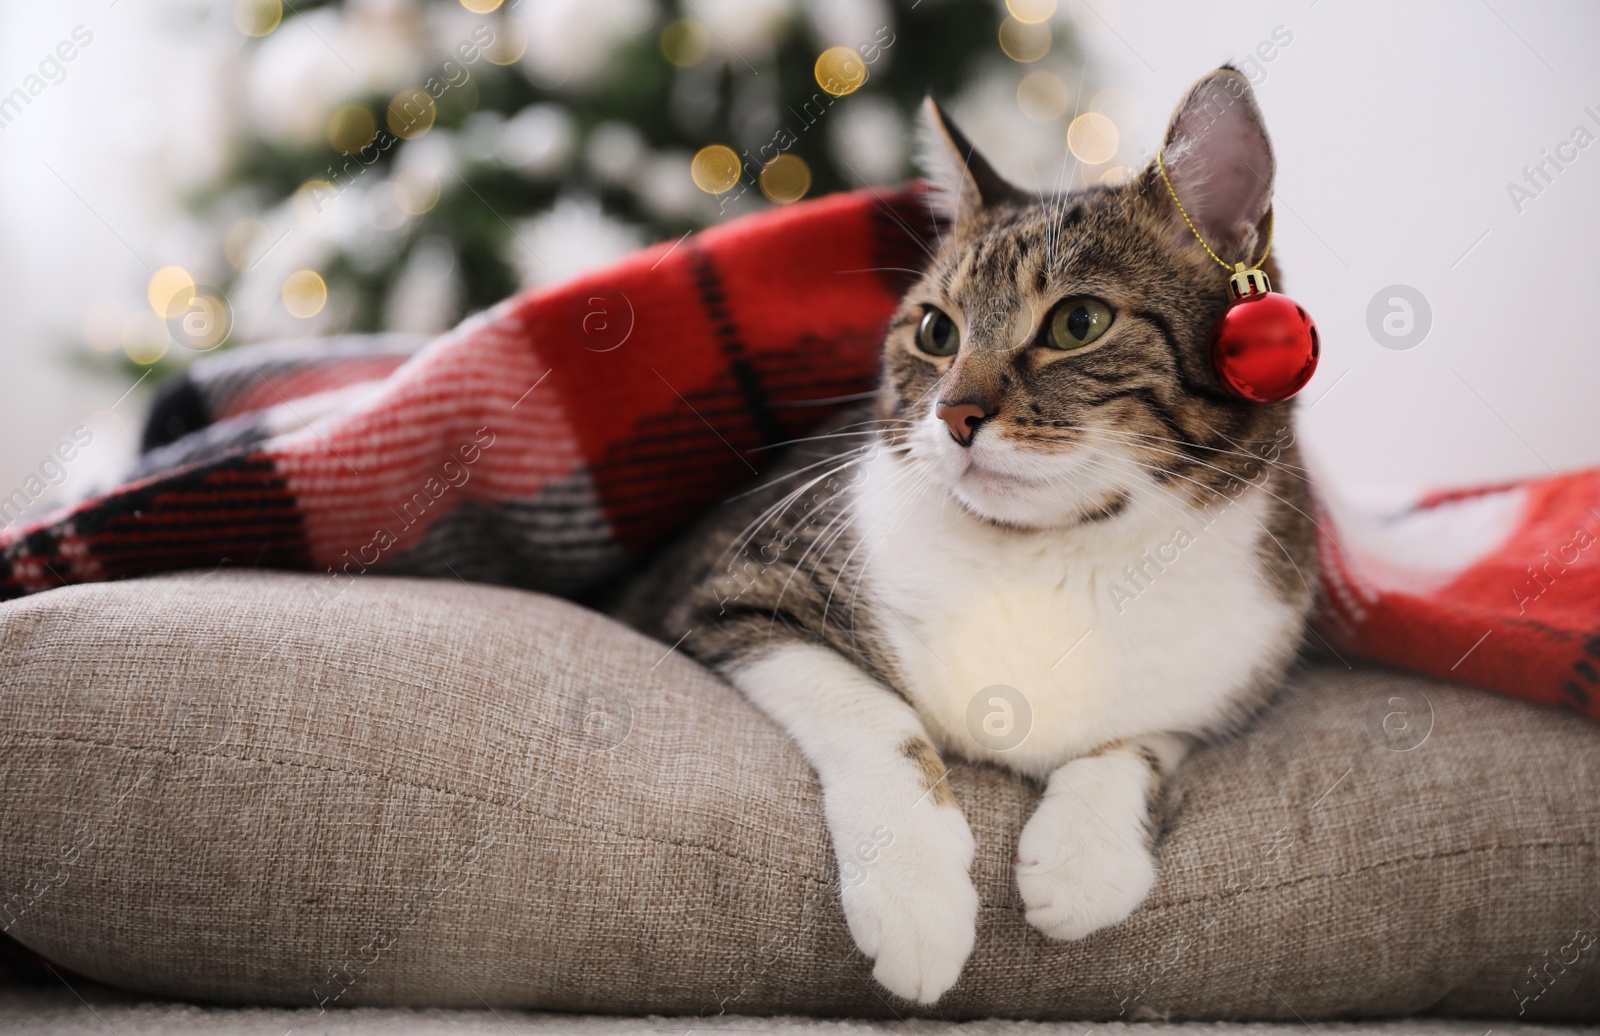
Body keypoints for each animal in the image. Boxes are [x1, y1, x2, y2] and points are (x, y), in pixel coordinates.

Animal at [611, 64, 1312, 1004]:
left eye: (1079, 323)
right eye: (935, 330)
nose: (953, 414)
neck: (1054, 553)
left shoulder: (1235, 662)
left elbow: (1148, 740)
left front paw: (1087, 857)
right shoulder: (725, 584)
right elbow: (872, 710)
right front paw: (916, 900)